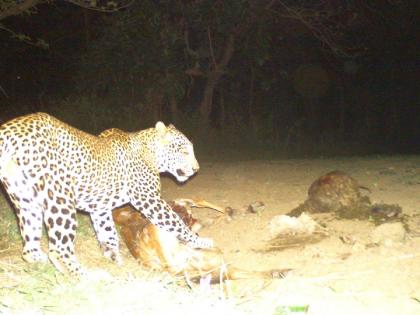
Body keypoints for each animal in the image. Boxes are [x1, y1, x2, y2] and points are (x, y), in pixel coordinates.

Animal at [0, 113, 213, 276]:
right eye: (183, 151)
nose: (196, 169)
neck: (152, 153)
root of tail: (9, 129)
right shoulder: (149, 199)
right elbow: (176, 222)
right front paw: (200, 241)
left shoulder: (99, 208)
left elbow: (108, 232)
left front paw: (113, 256)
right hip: (60, 198)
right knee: (59, 249)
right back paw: (89, 276)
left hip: (26, 199)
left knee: (29, 246)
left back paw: (39, 260)